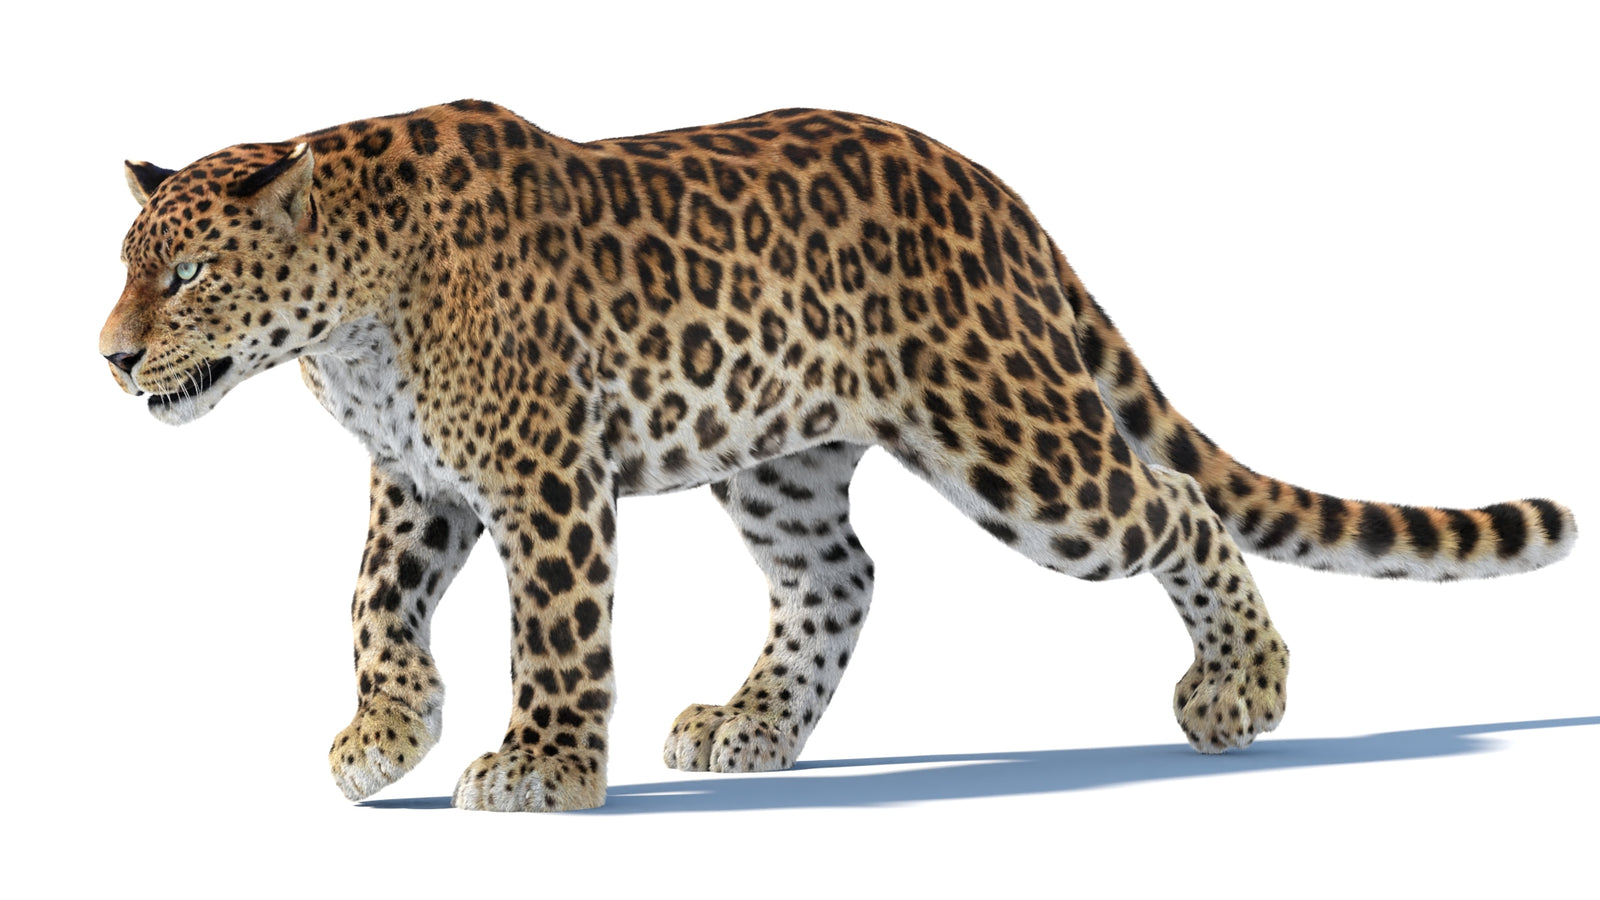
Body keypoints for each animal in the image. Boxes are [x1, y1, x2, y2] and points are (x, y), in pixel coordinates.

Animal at [101, 100, 1577, 812]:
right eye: (125, 267)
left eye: (185, 276)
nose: (110, 357)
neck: (348, 320)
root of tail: (990, 187)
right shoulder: (419, 485)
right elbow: (371, 610)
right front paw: (384, 736)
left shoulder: (543, 477)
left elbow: (558, 635)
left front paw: (544, 772)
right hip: (779, 457)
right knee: (841, 576)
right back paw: (750, 726)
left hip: (1015, 446)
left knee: (1165, 502)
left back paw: (1241, 692)